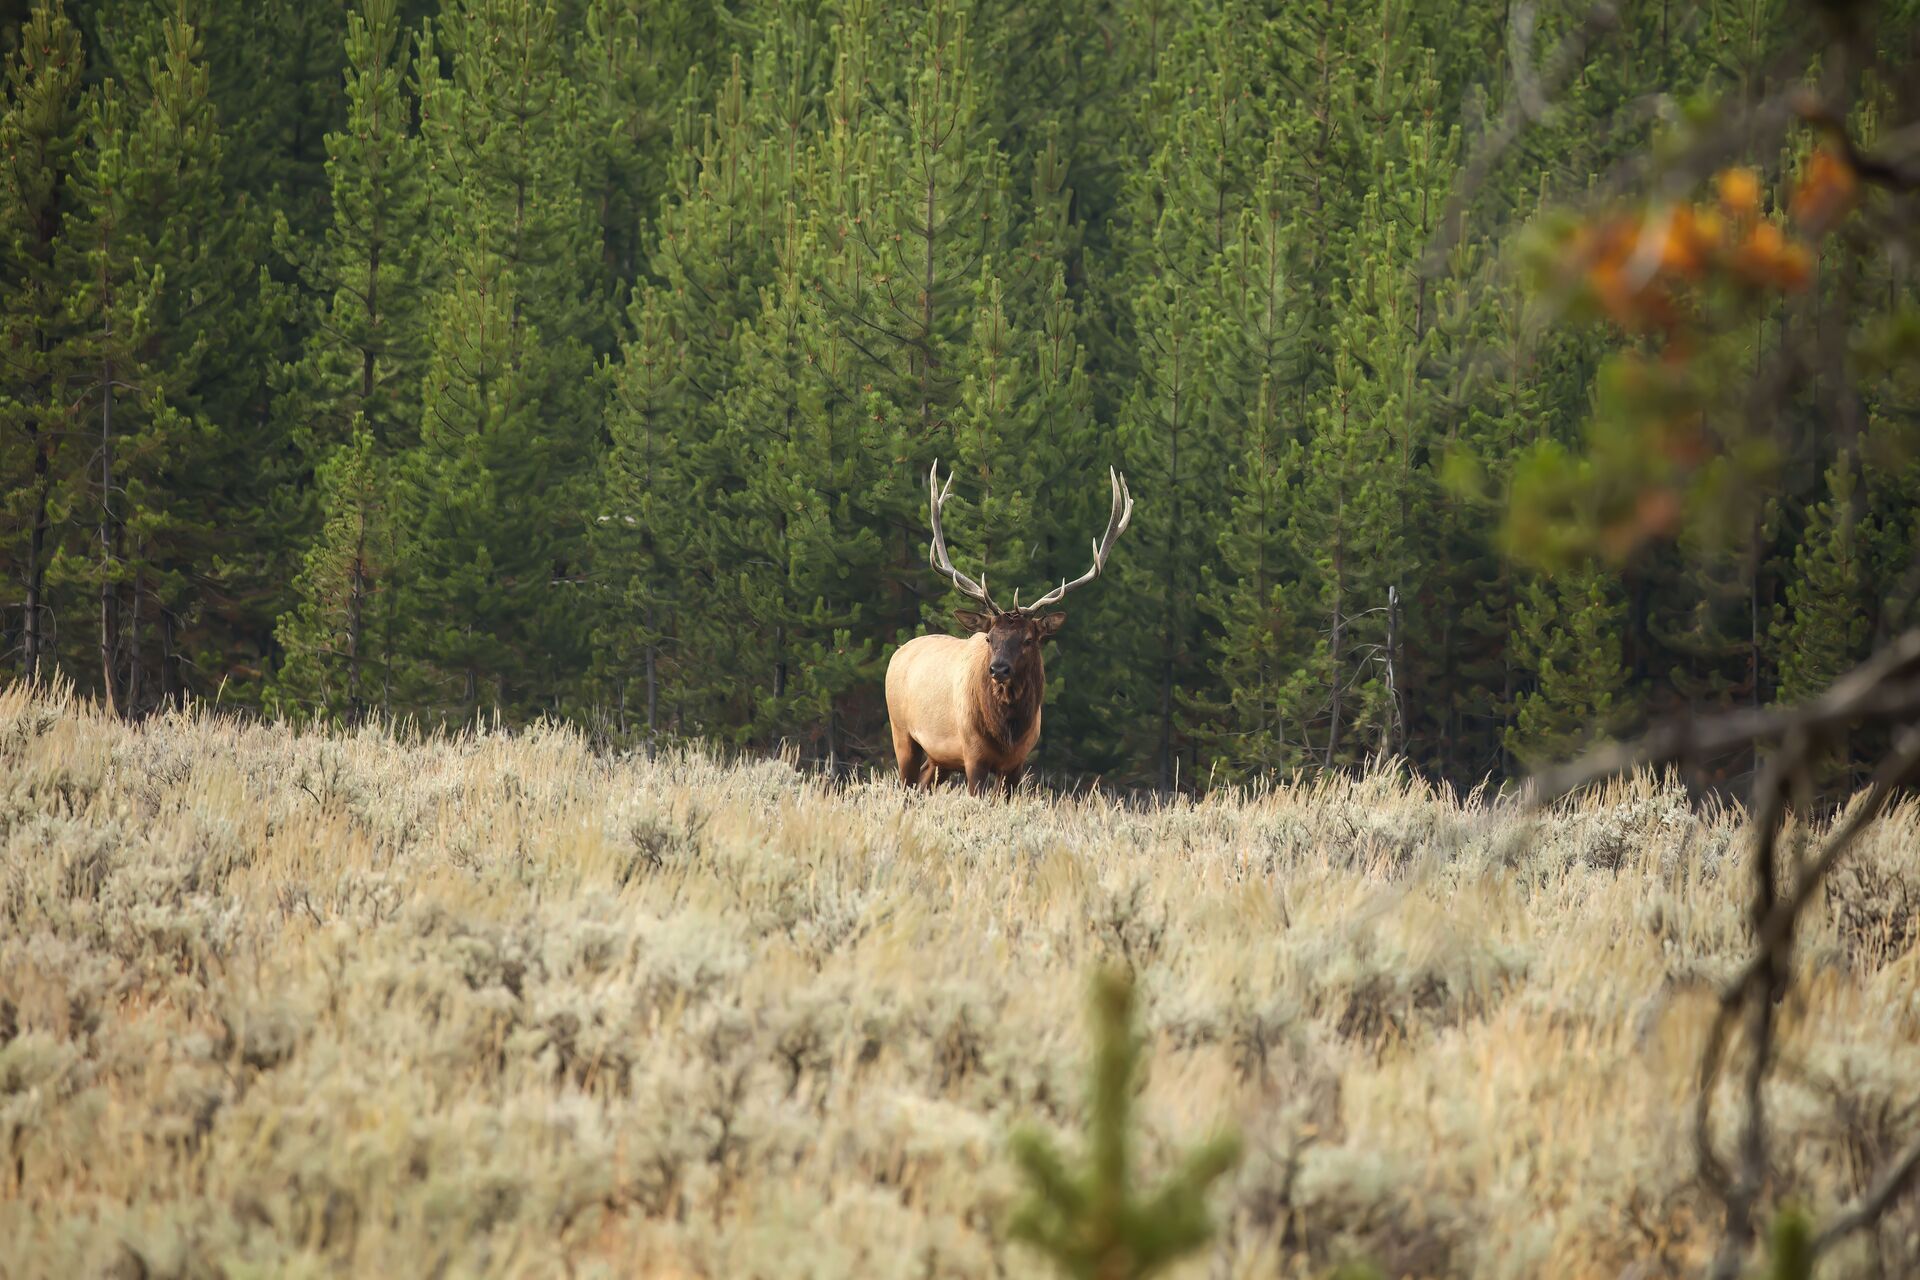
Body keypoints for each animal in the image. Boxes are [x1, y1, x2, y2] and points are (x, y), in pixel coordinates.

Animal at [885, 460, 1133, 795]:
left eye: (1029, 639)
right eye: (989, 638)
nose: (999, 669)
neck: (1007, 733)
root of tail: (898, 653)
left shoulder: (1017, 762)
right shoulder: (972, 755)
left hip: (939, 759)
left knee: (923, 782)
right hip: (902, 732)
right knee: (906, 784)